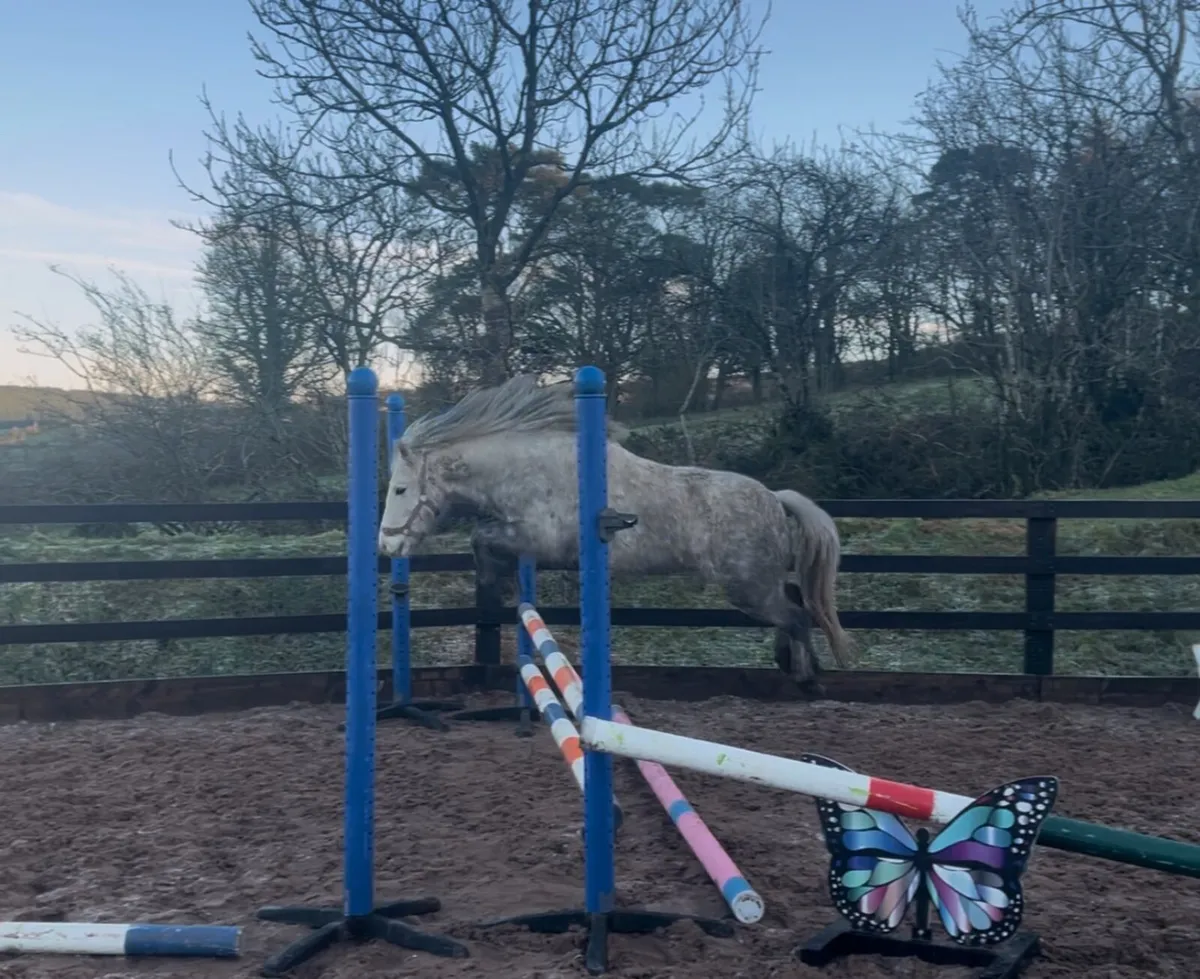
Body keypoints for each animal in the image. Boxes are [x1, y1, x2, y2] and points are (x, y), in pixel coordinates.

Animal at [376, 374, 852, 690]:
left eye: (400, 489)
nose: (387, 544)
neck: (529, 469)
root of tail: (775, 498)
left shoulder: (542, 539)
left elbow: (482, 538)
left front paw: (499, 584)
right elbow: (485, 539)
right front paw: (505, 585)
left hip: (748, 589)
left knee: (797, 615)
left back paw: (807, 678)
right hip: (758, 586)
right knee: (795, 602)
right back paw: (790, 663)